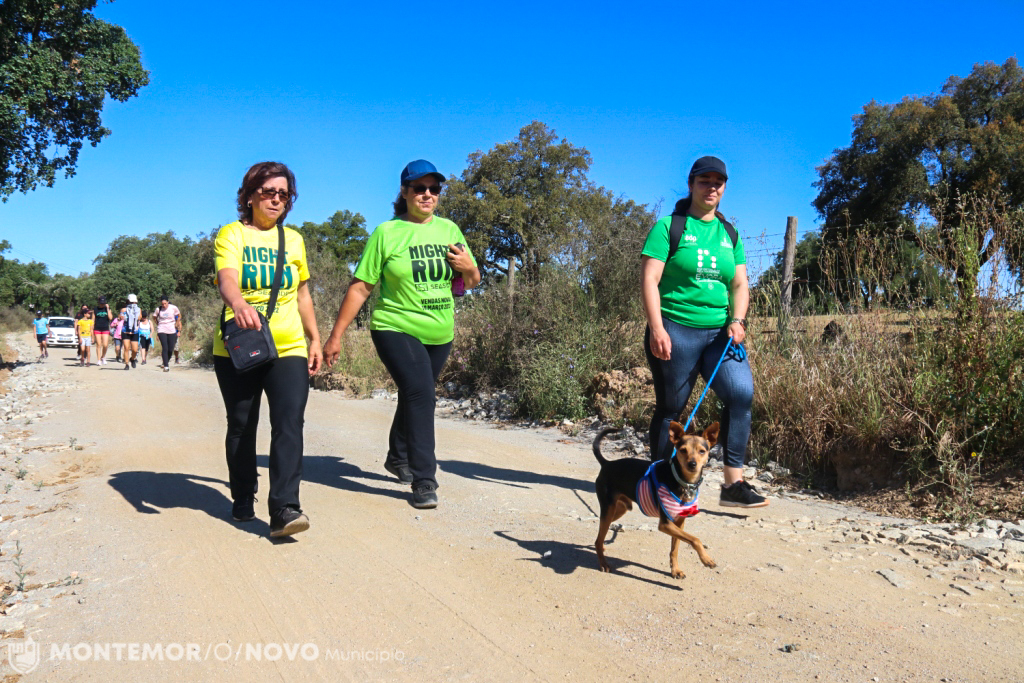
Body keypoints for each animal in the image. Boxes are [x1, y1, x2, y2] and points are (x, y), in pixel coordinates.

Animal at [593, 421, 719, 579]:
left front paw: (675, 570)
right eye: (683, 450)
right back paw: (603, 563)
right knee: (598, 539)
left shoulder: (679, 522)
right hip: (608, 509)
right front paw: (706, 559)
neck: (683, 481)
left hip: (619, 509)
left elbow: (675, 549)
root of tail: (606, 464)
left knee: (600, 535)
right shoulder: (665, 524)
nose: (692, 464)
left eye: (702, 451)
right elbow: (695, 539)